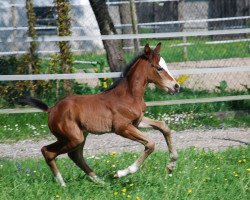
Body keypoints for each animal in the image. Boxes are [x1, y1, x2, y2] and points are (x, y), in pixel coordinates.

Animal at [19, 42, 180, 186]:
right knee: (48, 152)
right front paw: (120, 173)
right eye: (159, 68)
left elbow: (164, 127)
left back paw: (100, 182)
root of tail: (52, 109)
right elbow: (150, 144)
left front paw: (171, 166)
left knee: (74, 155)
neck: (128, 96)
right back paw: (63, 184)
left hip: (78, 136)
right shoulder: (122, 128)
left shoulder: (137, 122)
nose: (176, 86)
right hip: (73, 137)